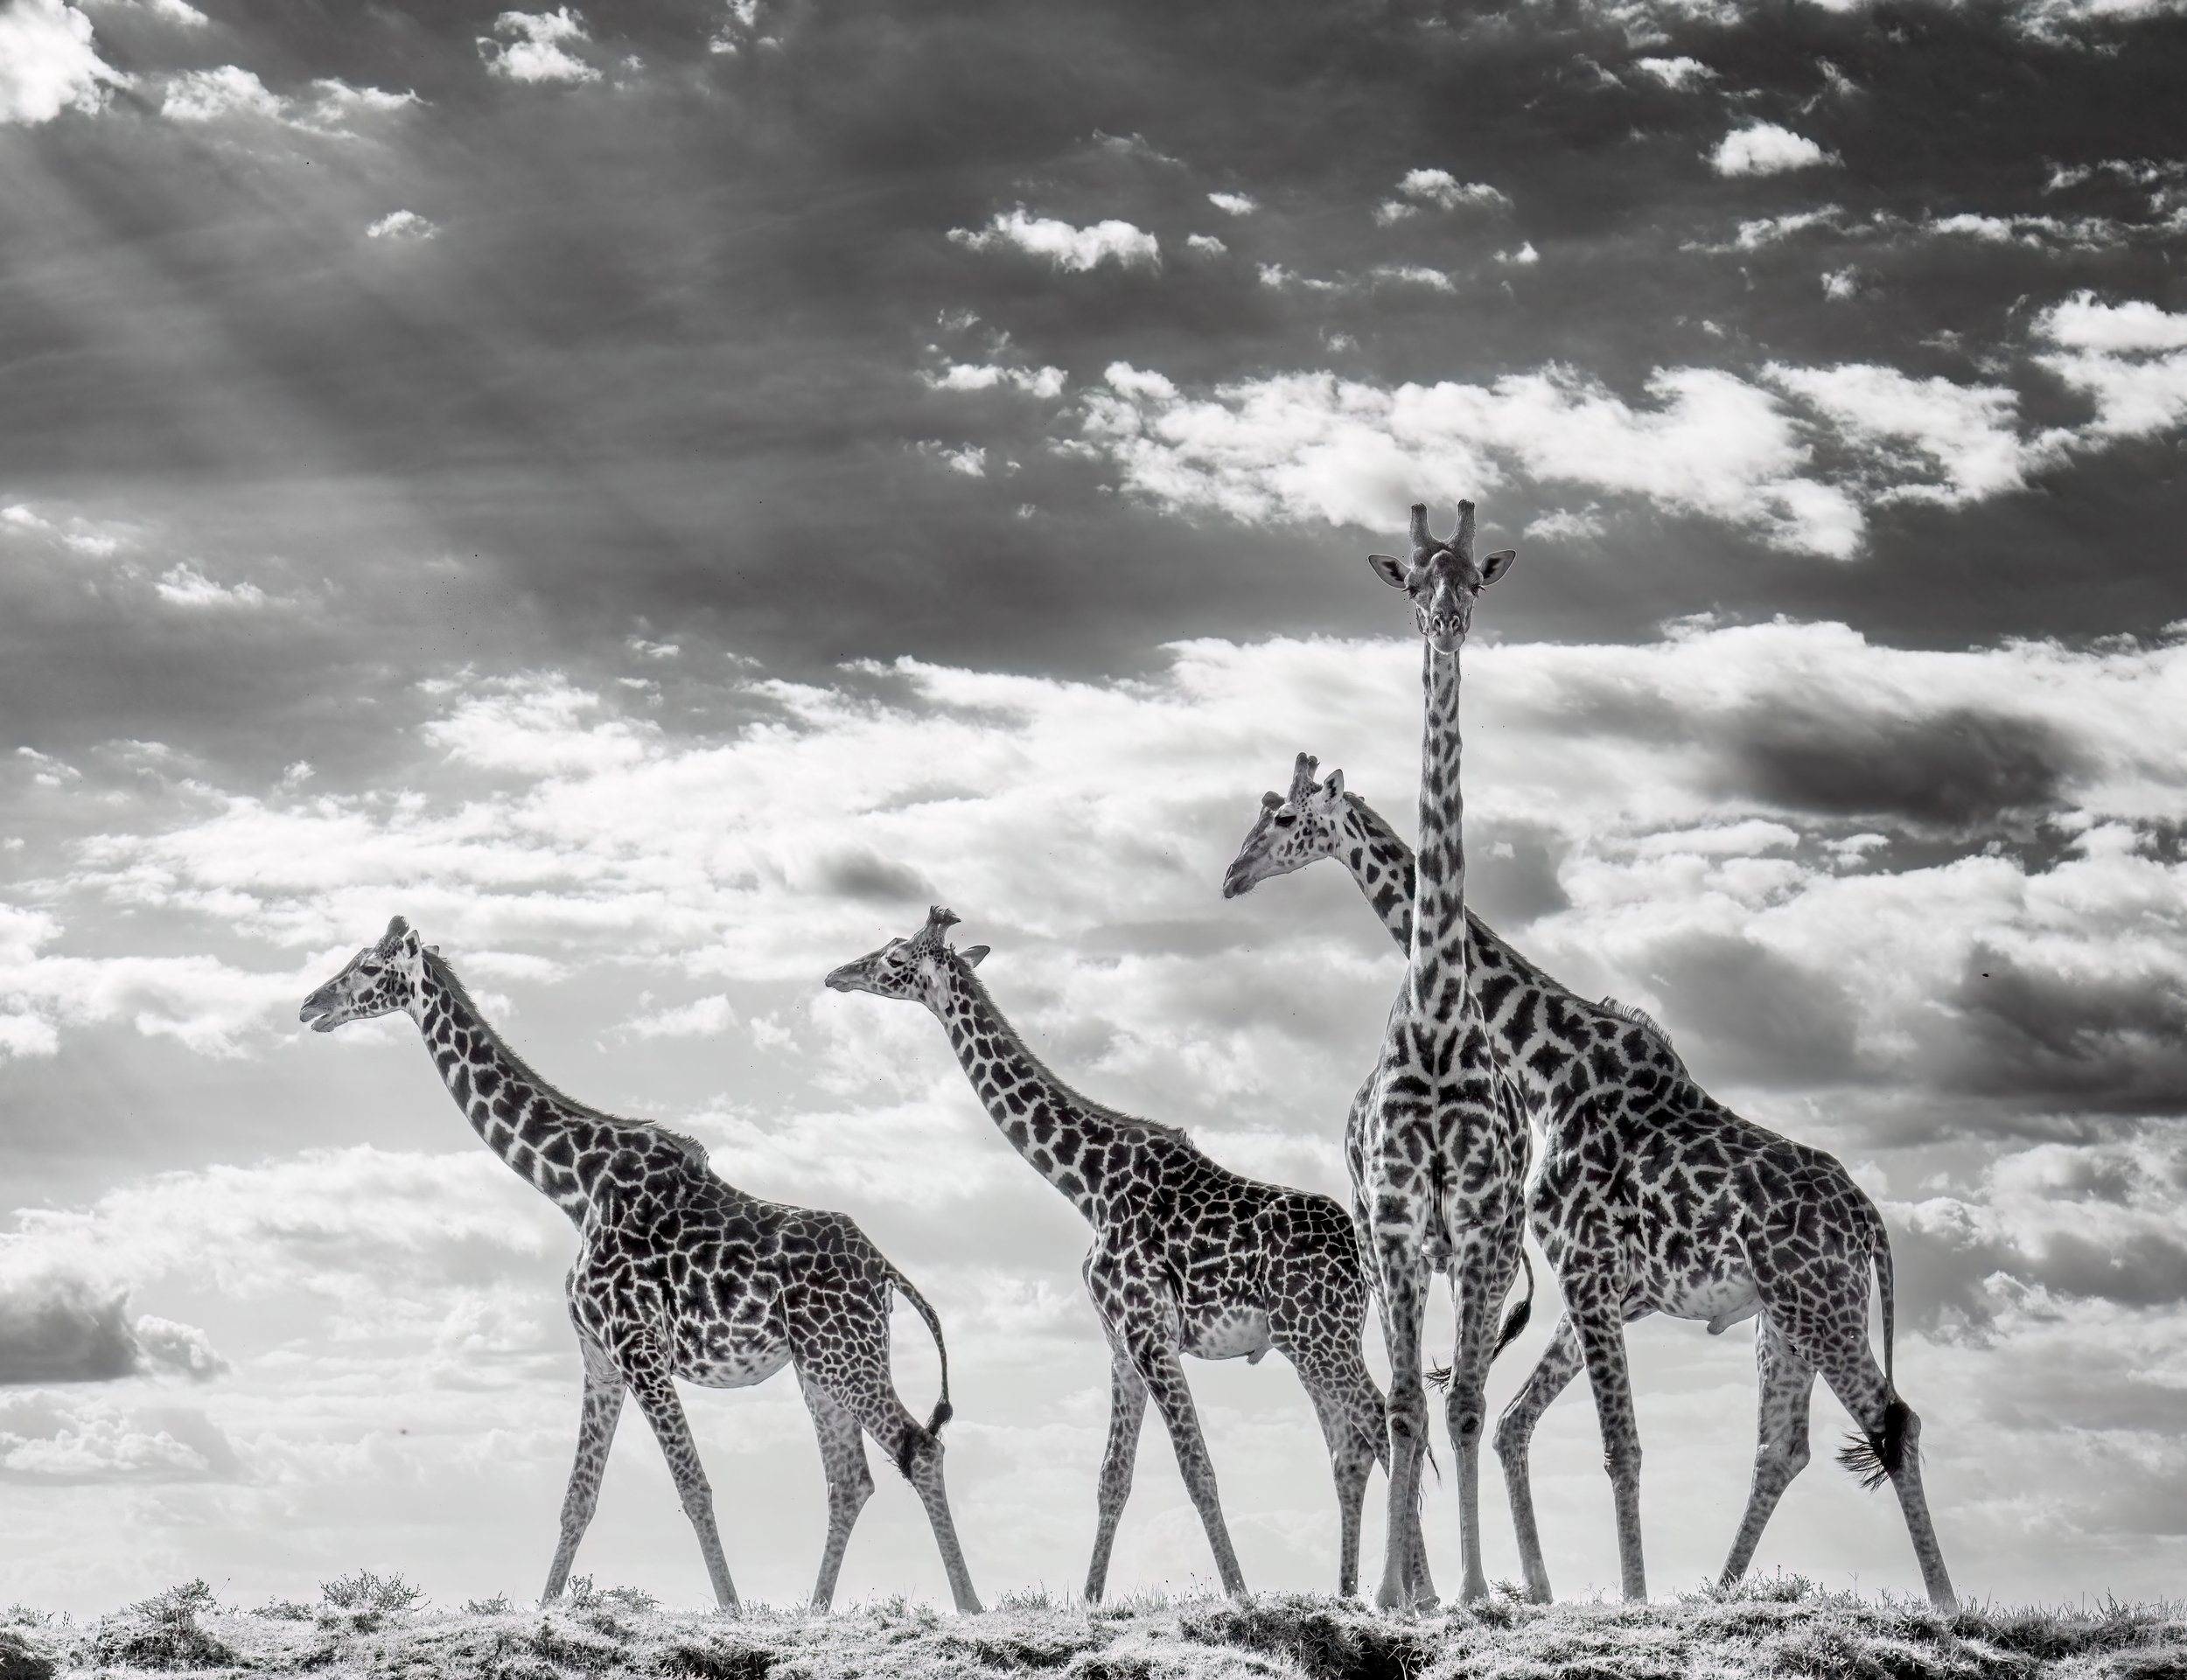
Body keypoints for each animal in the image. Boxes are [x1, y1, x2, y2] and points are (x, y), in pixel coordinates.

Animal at [300, 916, 983, 1614]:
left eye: (367, 967)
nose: (310, 1005)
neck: (575, 1188)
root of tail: (886, 1272)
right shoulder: (600, 1356)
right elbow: (578, 1499)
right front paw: (545, 1613)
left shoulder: (638, 1346)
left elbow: (693, 1486)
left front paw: (732, 1613)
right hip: (820, 1367)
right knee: (851, 1479)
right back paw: (815, 1612)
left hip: (845, 1357)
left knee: (919, 1448)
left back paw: (969, 1606)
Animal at [825, 906, 1435, 1602]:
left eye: (895, 957)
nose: (837, 973)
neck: (1086, 1187)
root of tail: (1366, 1258)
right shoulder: (1120, 1340)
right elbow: (1112, 1477)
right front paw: (1091, 1600)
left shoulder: (1149, 1332)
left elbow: (1197, 1468)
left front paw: (1238, 1593)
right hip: (1310, 1341)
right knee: (1355, 1445)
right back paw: (1365, 1591)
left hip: (1320, 1337)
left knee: (1386, 1423)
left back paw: (1411, 1595)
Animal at [1222, 755, 1959, 1610]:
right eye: (1260, 813)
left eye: (1283, 819)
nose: (1234, 875)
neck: (1553, 1070)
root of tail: (1870, 1221)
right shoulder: (1597, 1283)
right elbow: (1536, 1424)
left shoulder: (1584, 1268)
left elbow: (1617, 1444)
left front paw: (1632, 1598)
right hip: (1786, 1318)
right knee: (1784, 1445)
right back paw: (1721, 1592)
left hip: (1823, 1303)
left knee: (1893, 1419)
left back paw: (1945, 1604)